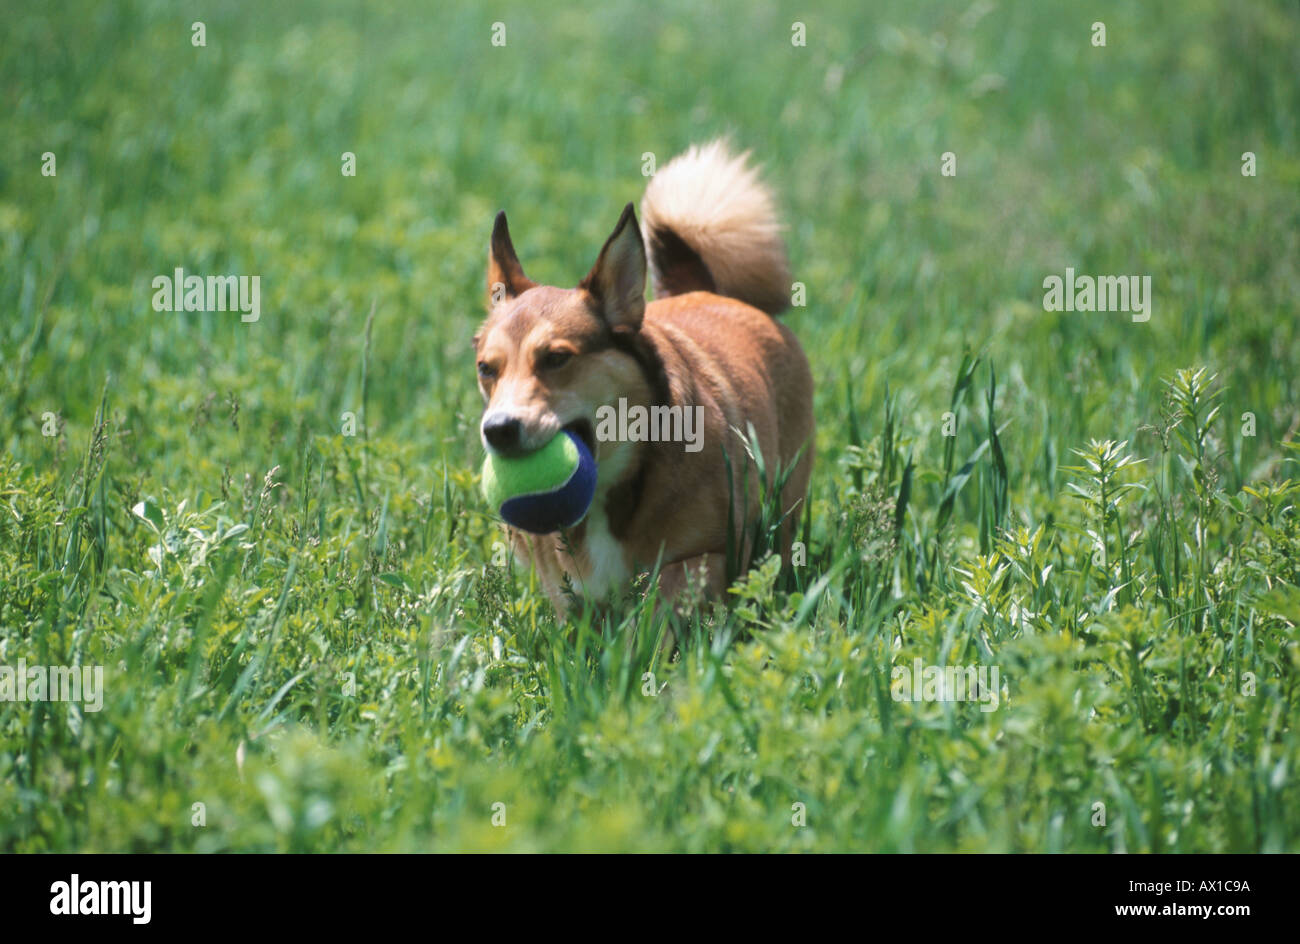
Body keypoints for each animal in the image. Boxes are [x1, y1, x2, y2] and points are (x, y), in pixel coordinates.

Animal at [473, 138, 806, 613]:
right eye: (486, 368)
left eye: (556, 358)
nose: (498, 430)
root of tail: (702, 290)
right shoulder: (559, 584)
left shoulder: (714, 554)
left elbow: (663, 591)